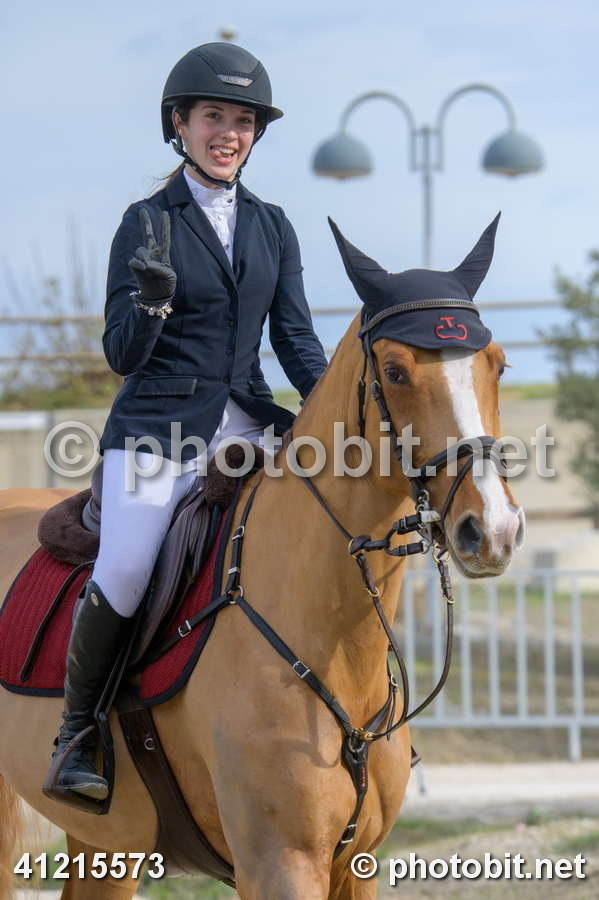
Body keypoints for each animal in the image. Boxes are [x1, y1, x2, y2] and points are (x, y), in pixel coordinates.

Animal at [0, 229, 525, 899]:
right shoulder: (279, 864)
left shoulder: (355, 865)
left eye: (498, 365)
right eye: (395, 371)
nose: (494, 530)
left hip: (107, 843)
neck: (331, 638)